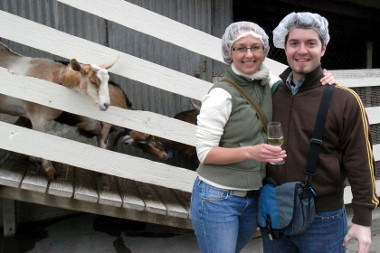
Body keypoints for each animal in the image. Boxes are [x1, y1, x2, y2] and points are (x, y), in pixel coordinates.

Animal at [0, 41, 116, 180]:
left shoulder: (26, 116)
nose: (106, 104)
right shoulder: (37, 118)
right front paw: (49, 170)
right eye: (93, 82)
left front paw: (30, 158)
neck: (55, 80)